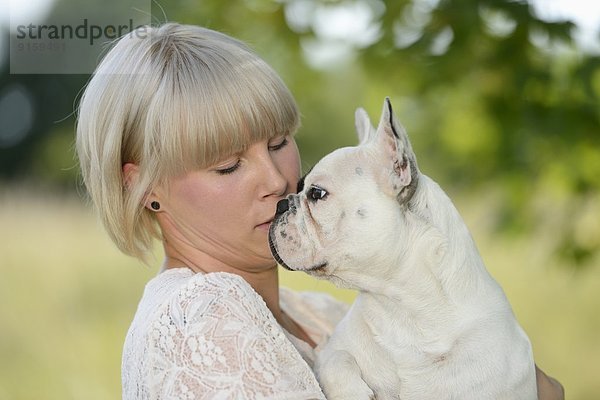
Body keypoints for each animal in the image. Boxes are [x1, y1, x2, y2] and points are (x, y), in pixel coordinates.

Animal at [270, 97, 536, 400]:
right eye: (299, 187)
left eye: (316, 193)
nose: (280, 204)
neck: (402, 308)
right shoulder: (328, 350)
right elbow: (336, 359)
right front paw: (353, 391)